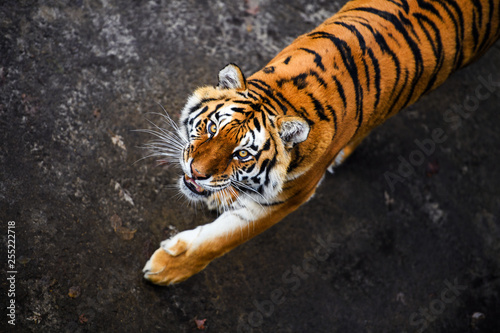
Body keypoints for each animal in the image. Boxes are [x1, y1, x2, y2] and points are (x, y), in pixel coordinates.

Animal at [141, 0, 500, 286]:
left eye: (242, 153)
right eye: (212, 128)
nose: (196, 172)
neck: (280, 97)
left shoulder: (285, 201)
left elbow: (220, 240)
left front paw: (166, 270)